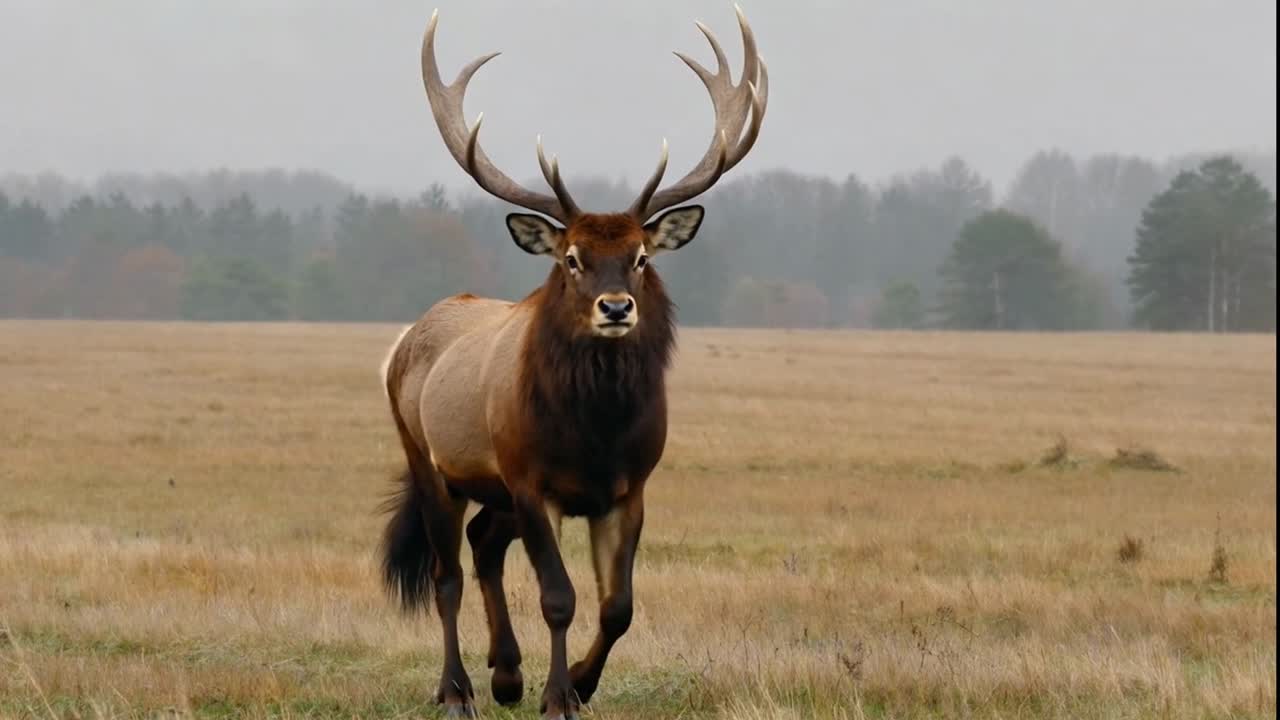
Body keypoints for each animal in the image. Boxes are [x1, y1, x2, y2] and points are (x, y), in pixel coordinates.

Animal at [379, 6, 767, 719]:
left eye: (640, 256)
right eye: (572, 258)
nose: (615, 307)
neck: (597, 436)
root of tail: (410, 337)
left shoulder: (629, 488)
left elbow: (618, 606)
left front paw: (581, 685)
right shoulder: (534, 482)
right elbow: (559, 598)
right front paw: (557, 695)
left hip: (493, 488)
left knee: (483, 546)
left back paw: (506, 674)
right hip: (428, 460)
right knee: (447, 574)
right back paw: (457, 690)